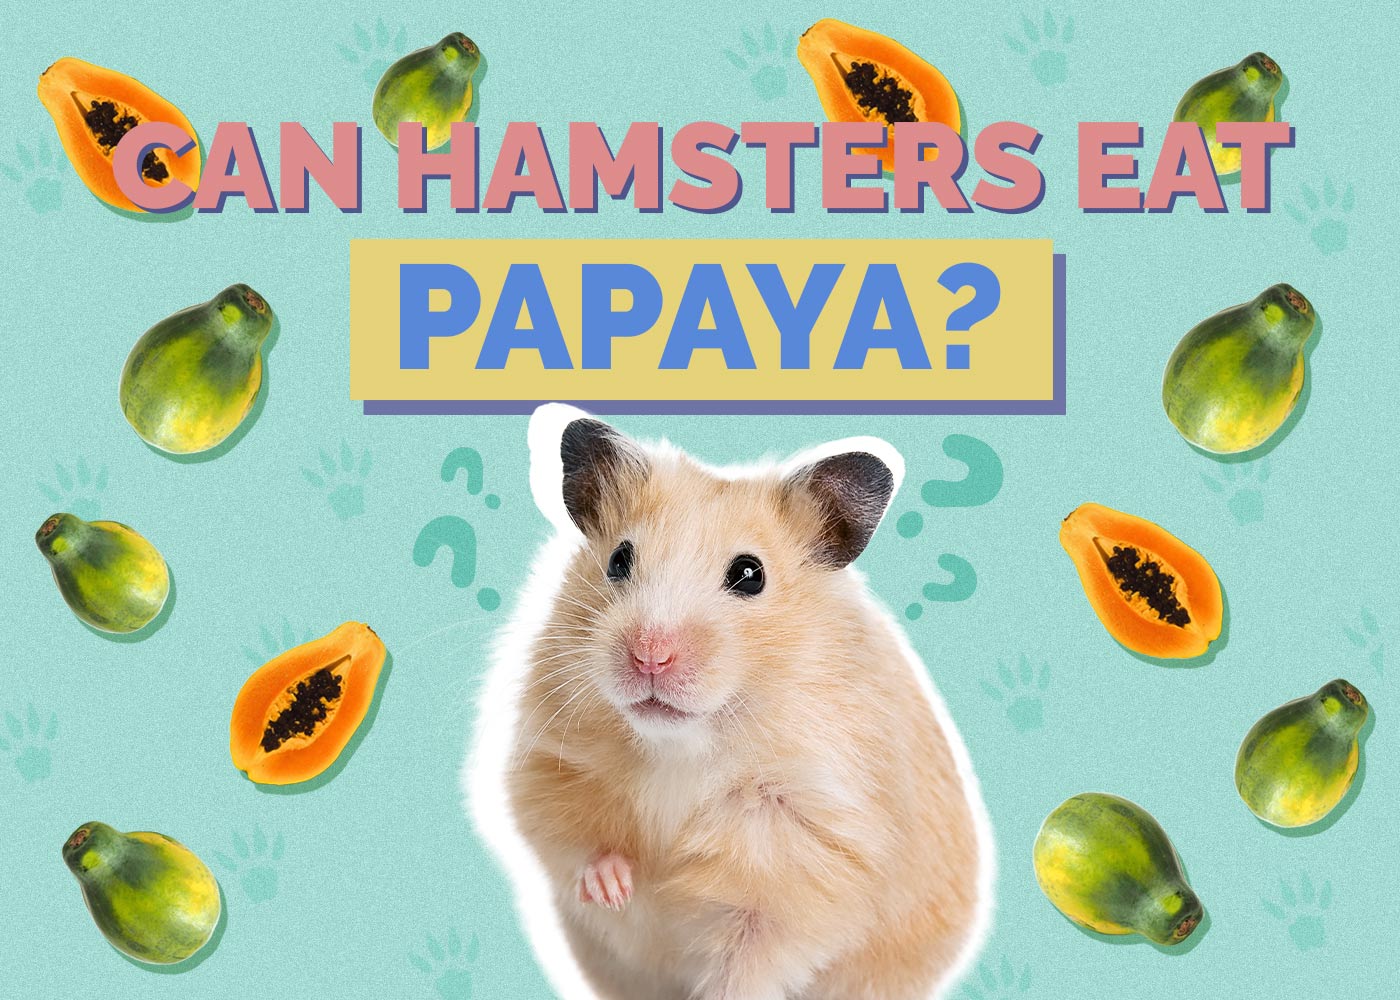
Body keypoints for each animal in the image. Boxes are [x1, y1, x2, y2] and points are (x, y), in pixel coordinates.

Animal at [468, 404, 993, 1000]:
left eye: (749, 575)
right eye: (619, 559)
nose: (649, 656)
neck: (681, 745)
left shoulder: (808, 853)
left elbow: (752, 954)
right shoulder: (550, 762)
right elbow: (571, 840)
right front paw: (615, 888)